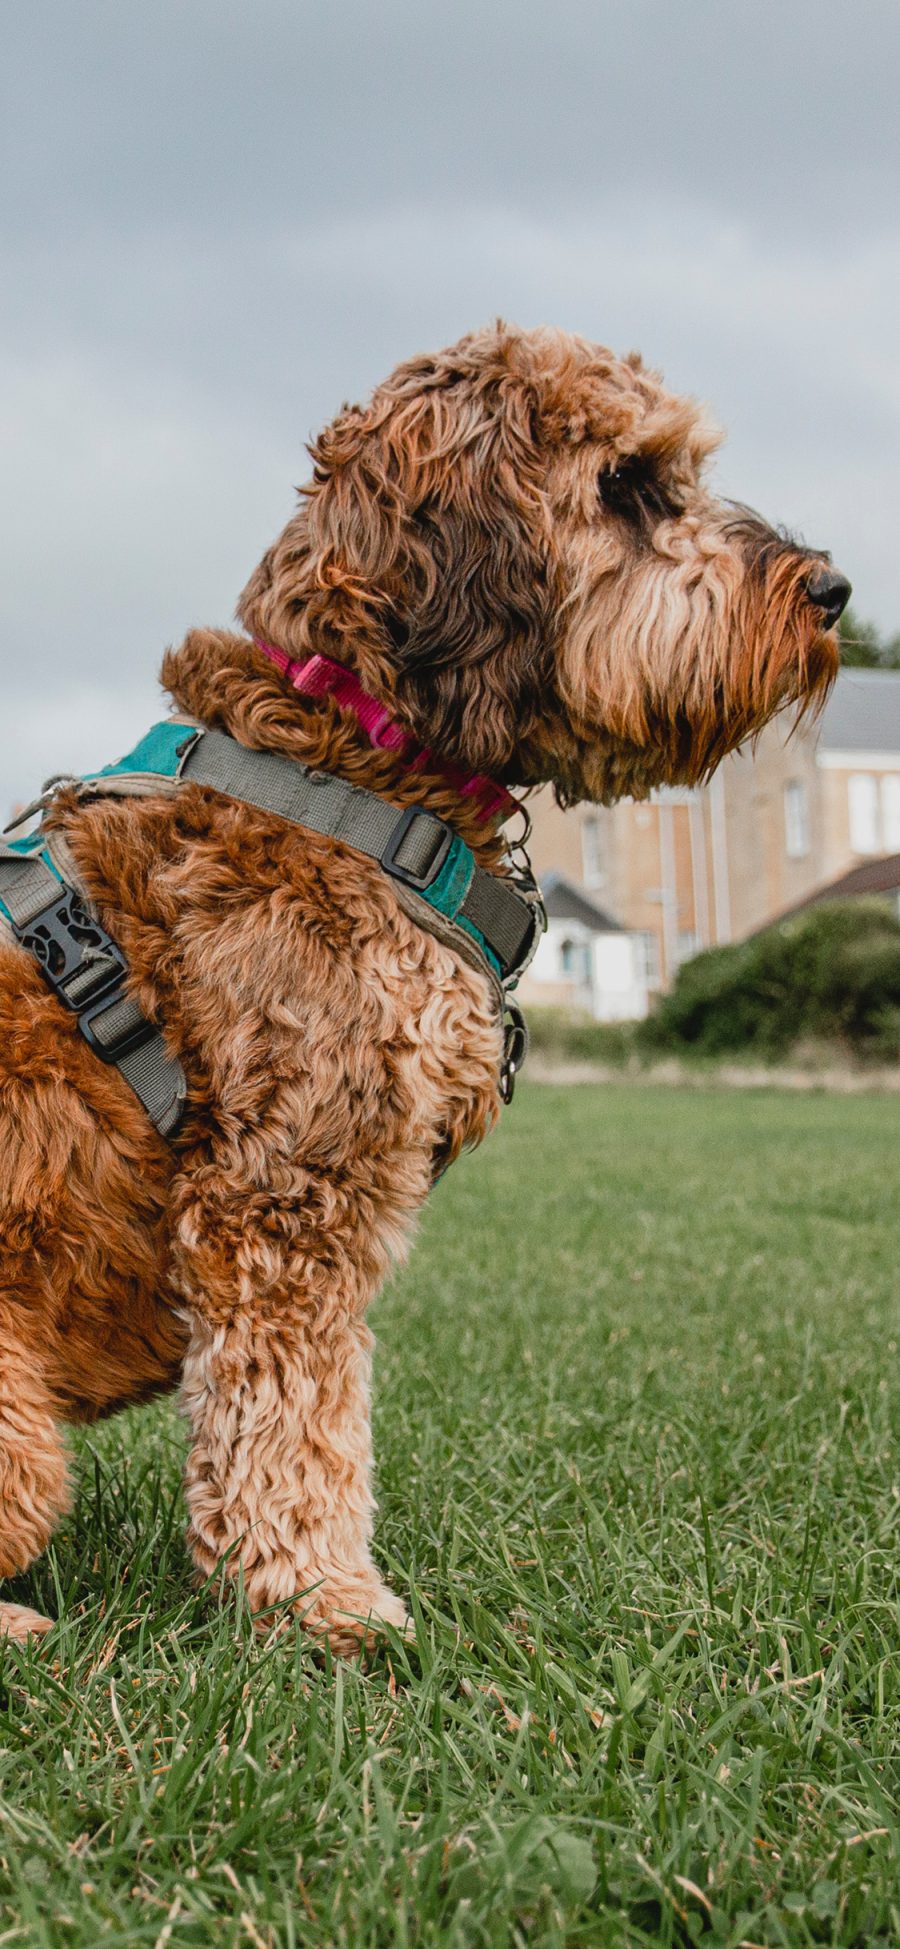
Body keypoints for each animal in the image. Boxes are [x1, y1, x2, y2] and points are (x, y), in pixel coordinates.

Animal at [0, 323, 845, 1644]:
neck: (356, 755)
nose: (833, 591)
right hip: (19, 1430)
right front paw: (327, 1599)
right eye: (628, 484)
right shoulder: (281, 1202)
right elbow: (293, 1422)